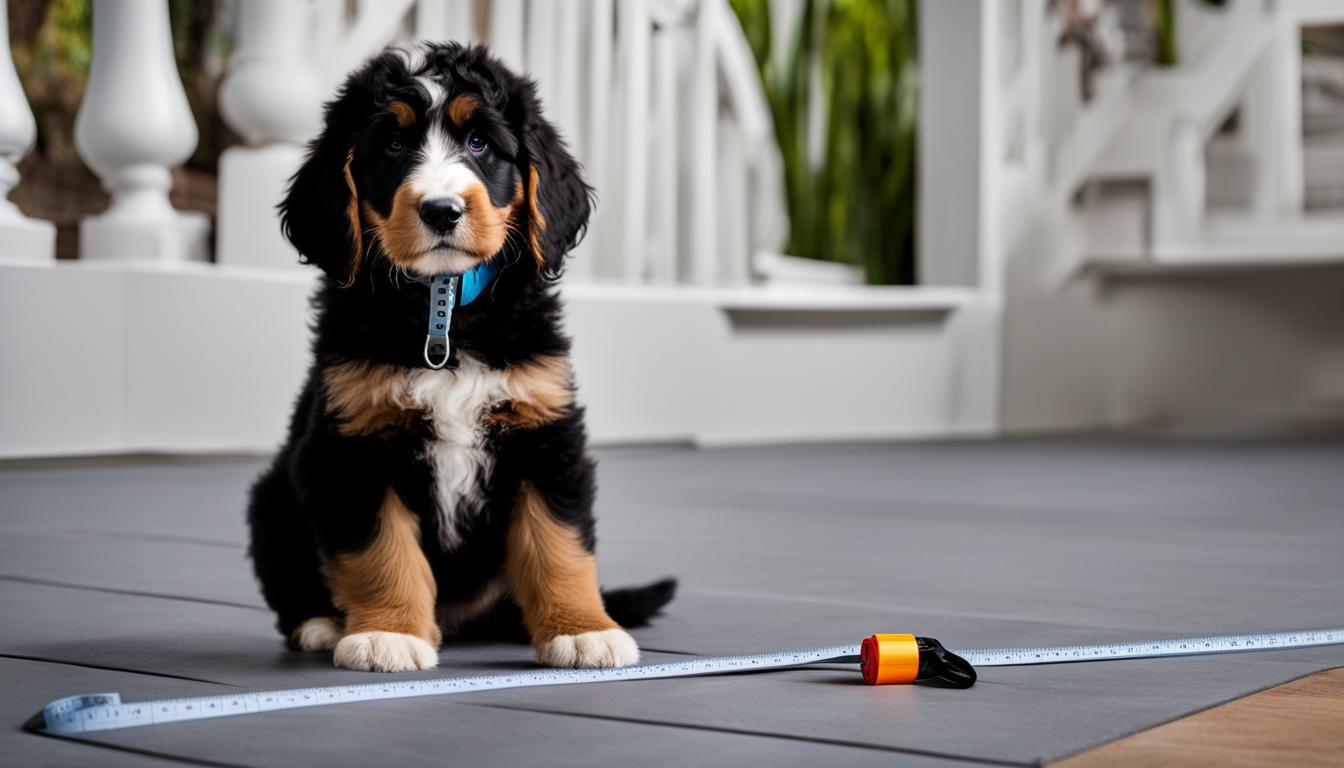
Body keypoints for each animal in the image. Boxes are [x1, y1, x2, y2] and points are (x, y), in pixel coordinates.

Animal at [245, 45, 672, 675]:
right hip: (273, 495)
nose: (442, 211)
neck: (443, 306)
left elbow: (558, 544)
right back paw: (322, 623)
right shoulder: (351, 445)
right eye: (392, 147)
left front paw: (583, 630)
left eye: (479, 144)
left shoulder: (546, 433)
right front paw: (389, 634)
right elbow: (381, 552)